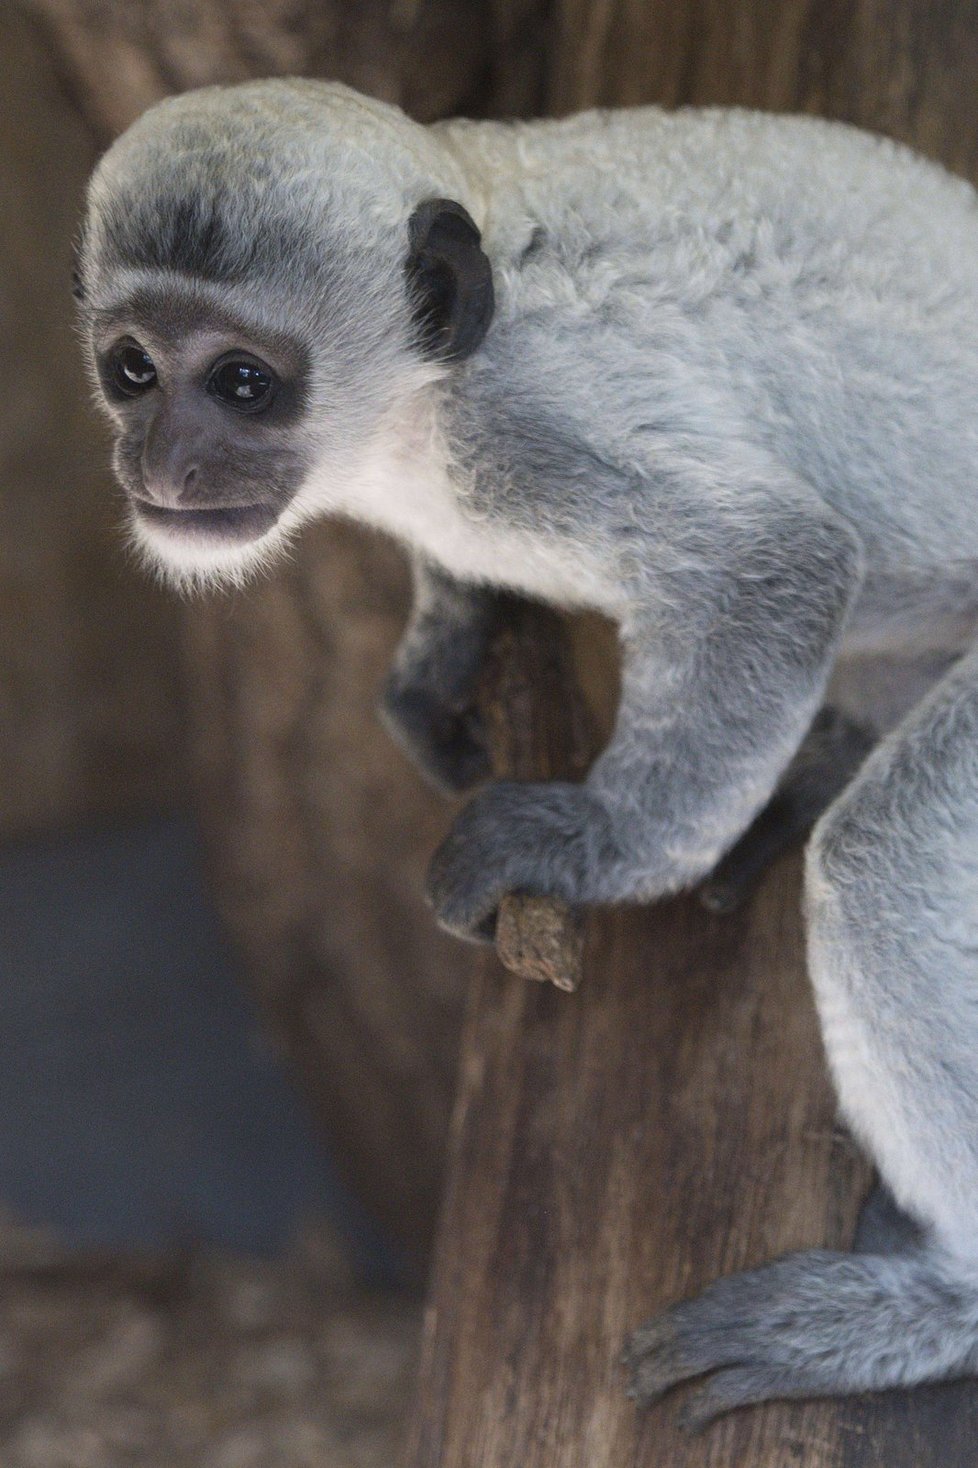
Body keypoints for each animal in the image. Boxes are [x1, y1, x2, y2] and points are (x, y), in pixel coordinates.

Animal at [78, 80, 978, 1421]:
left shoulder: (535, 433)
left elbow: (781, 557)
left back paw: (944, 1300)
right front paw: (444, 651)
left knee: (884, 859)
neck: (415, 413)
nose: (159, 463)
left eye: (241, 382)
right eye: (132, 370)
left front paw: (586, 842)